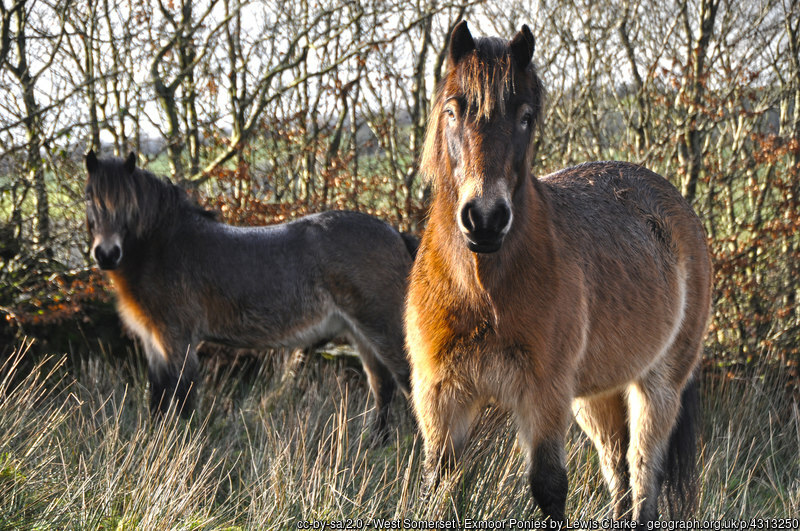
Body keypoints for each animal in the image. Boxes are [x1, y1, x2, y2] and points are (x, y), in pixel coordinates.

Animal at [84, 151, 413, 437]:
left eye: (127, 202)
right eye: (89, 197)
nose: (106, 254)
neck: (164, 246)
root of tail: (395, 233)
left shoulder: (176, 339)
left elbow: (182, 395)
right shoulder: (153, 342)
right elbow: (157, 397)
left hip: (383, 331)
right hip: (360, 334)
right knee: (383, 386)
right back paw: (375, 443)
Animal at [404, 21, 711, 522]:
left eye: (526, 117)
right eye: (453, 109)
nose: (485, 219)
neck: (481, 290)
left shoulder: (544, 397)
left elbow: (549, 488)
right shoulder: (441, 399)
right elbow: (437, 489)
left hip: (657, 386)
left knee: (642, 475)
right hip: (597, 396)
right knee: (617, 473)